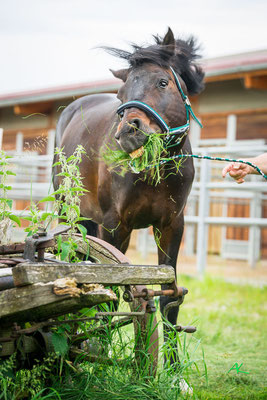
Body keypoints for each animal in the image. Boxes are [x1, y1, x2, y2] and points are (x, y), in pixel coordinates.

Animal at [54, 27, 205, 354]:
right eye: (121, 96)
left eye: (162, 82)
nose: (128, 132)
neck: (154, 171)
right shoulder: (115, 226)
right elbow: (110, 291)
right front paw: (99, 349)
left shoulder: (171, 226)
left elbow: (169, 297)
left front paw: (174, 368)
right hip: (67, 213)